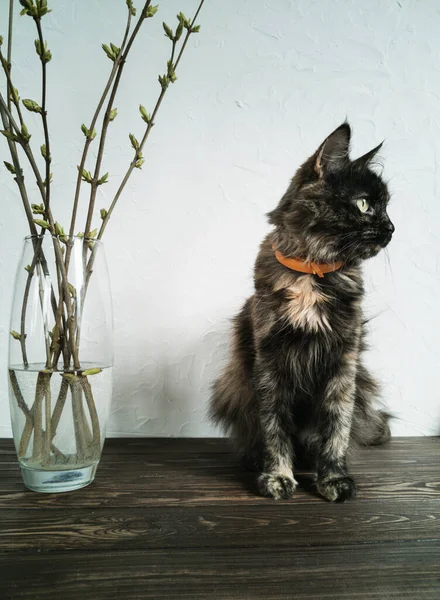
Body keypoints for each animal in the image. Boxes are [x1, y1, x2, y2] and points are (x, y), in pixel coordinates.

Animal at [211, 122, 396, 502]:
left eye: (387, 206)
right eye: (364, 204)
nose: (391, 229)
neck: (313, 273)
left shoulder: (343, 364)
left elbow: (336, 428)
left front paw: (334, 478)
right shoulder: (269, 363)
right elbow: (274, 426)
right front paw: (277, 476)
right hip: (233, 387)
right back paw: (256, 461)